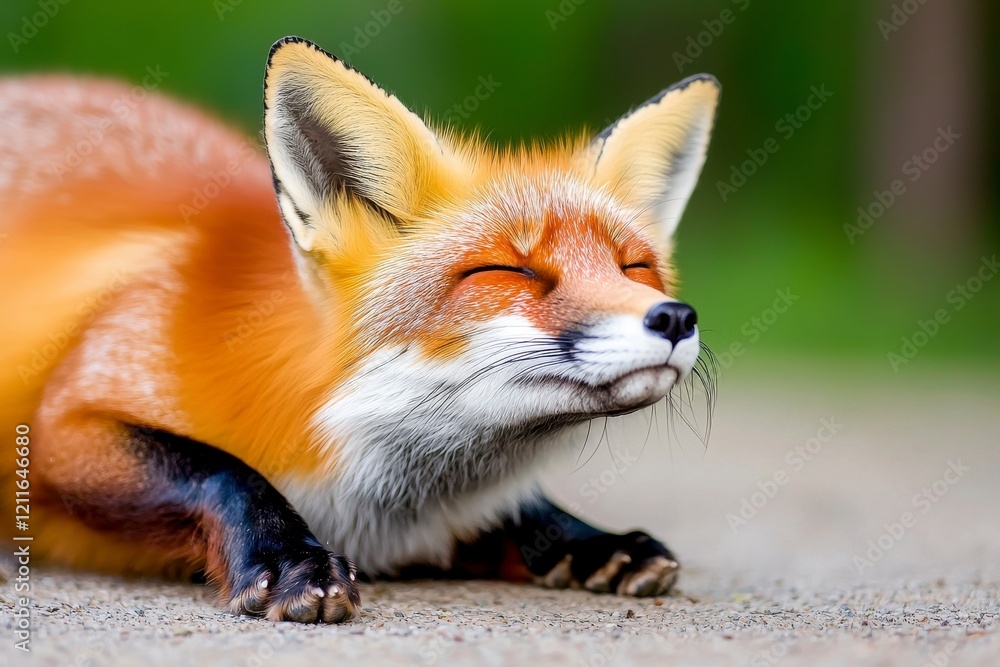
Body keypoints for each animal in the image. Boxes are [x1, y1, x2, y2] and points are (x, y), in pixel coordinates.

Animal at [0, 36, 719, 624]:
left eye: (635, 267)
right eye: (506, 269)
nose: (676, 317)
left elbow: (520, 505)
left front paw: (590, 539)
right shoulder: (69, 415)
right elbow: (218, 468)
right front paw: (292, 558)